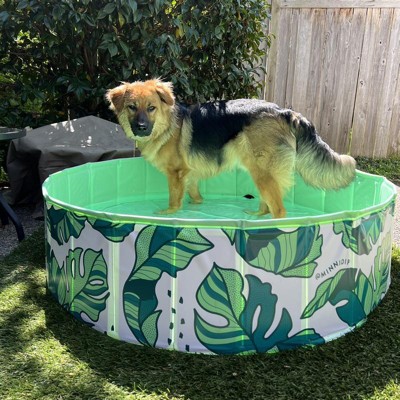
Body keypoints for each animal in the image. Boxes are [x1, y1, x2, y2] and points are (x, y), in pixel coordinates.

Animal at [104, 79, 354, 219]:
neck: (167, 126)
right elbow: (195, 197)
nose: (141, 127)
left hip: (263, 172)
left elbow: (174, 200)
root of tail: (284, 111)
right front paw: (194, 208)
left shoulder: (176, 174)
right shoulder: (190, 175)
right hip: (261, 173)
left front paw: (169, 214)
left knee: (280, 211)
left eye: (151, 108)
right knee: (267, 204)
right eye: (132, 107)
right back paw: (255, 217)